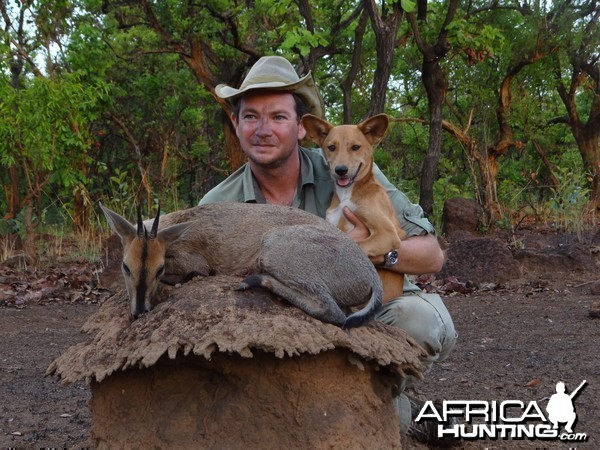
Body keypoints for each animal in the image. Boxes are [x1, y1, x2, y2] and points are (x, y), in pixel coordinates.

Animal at [302, 113, 406, 302]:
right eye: (331, 147)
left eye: (356, 147)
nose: (341, 170)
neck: (347, 195)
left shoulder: (389, 234)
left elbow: (357, 246)